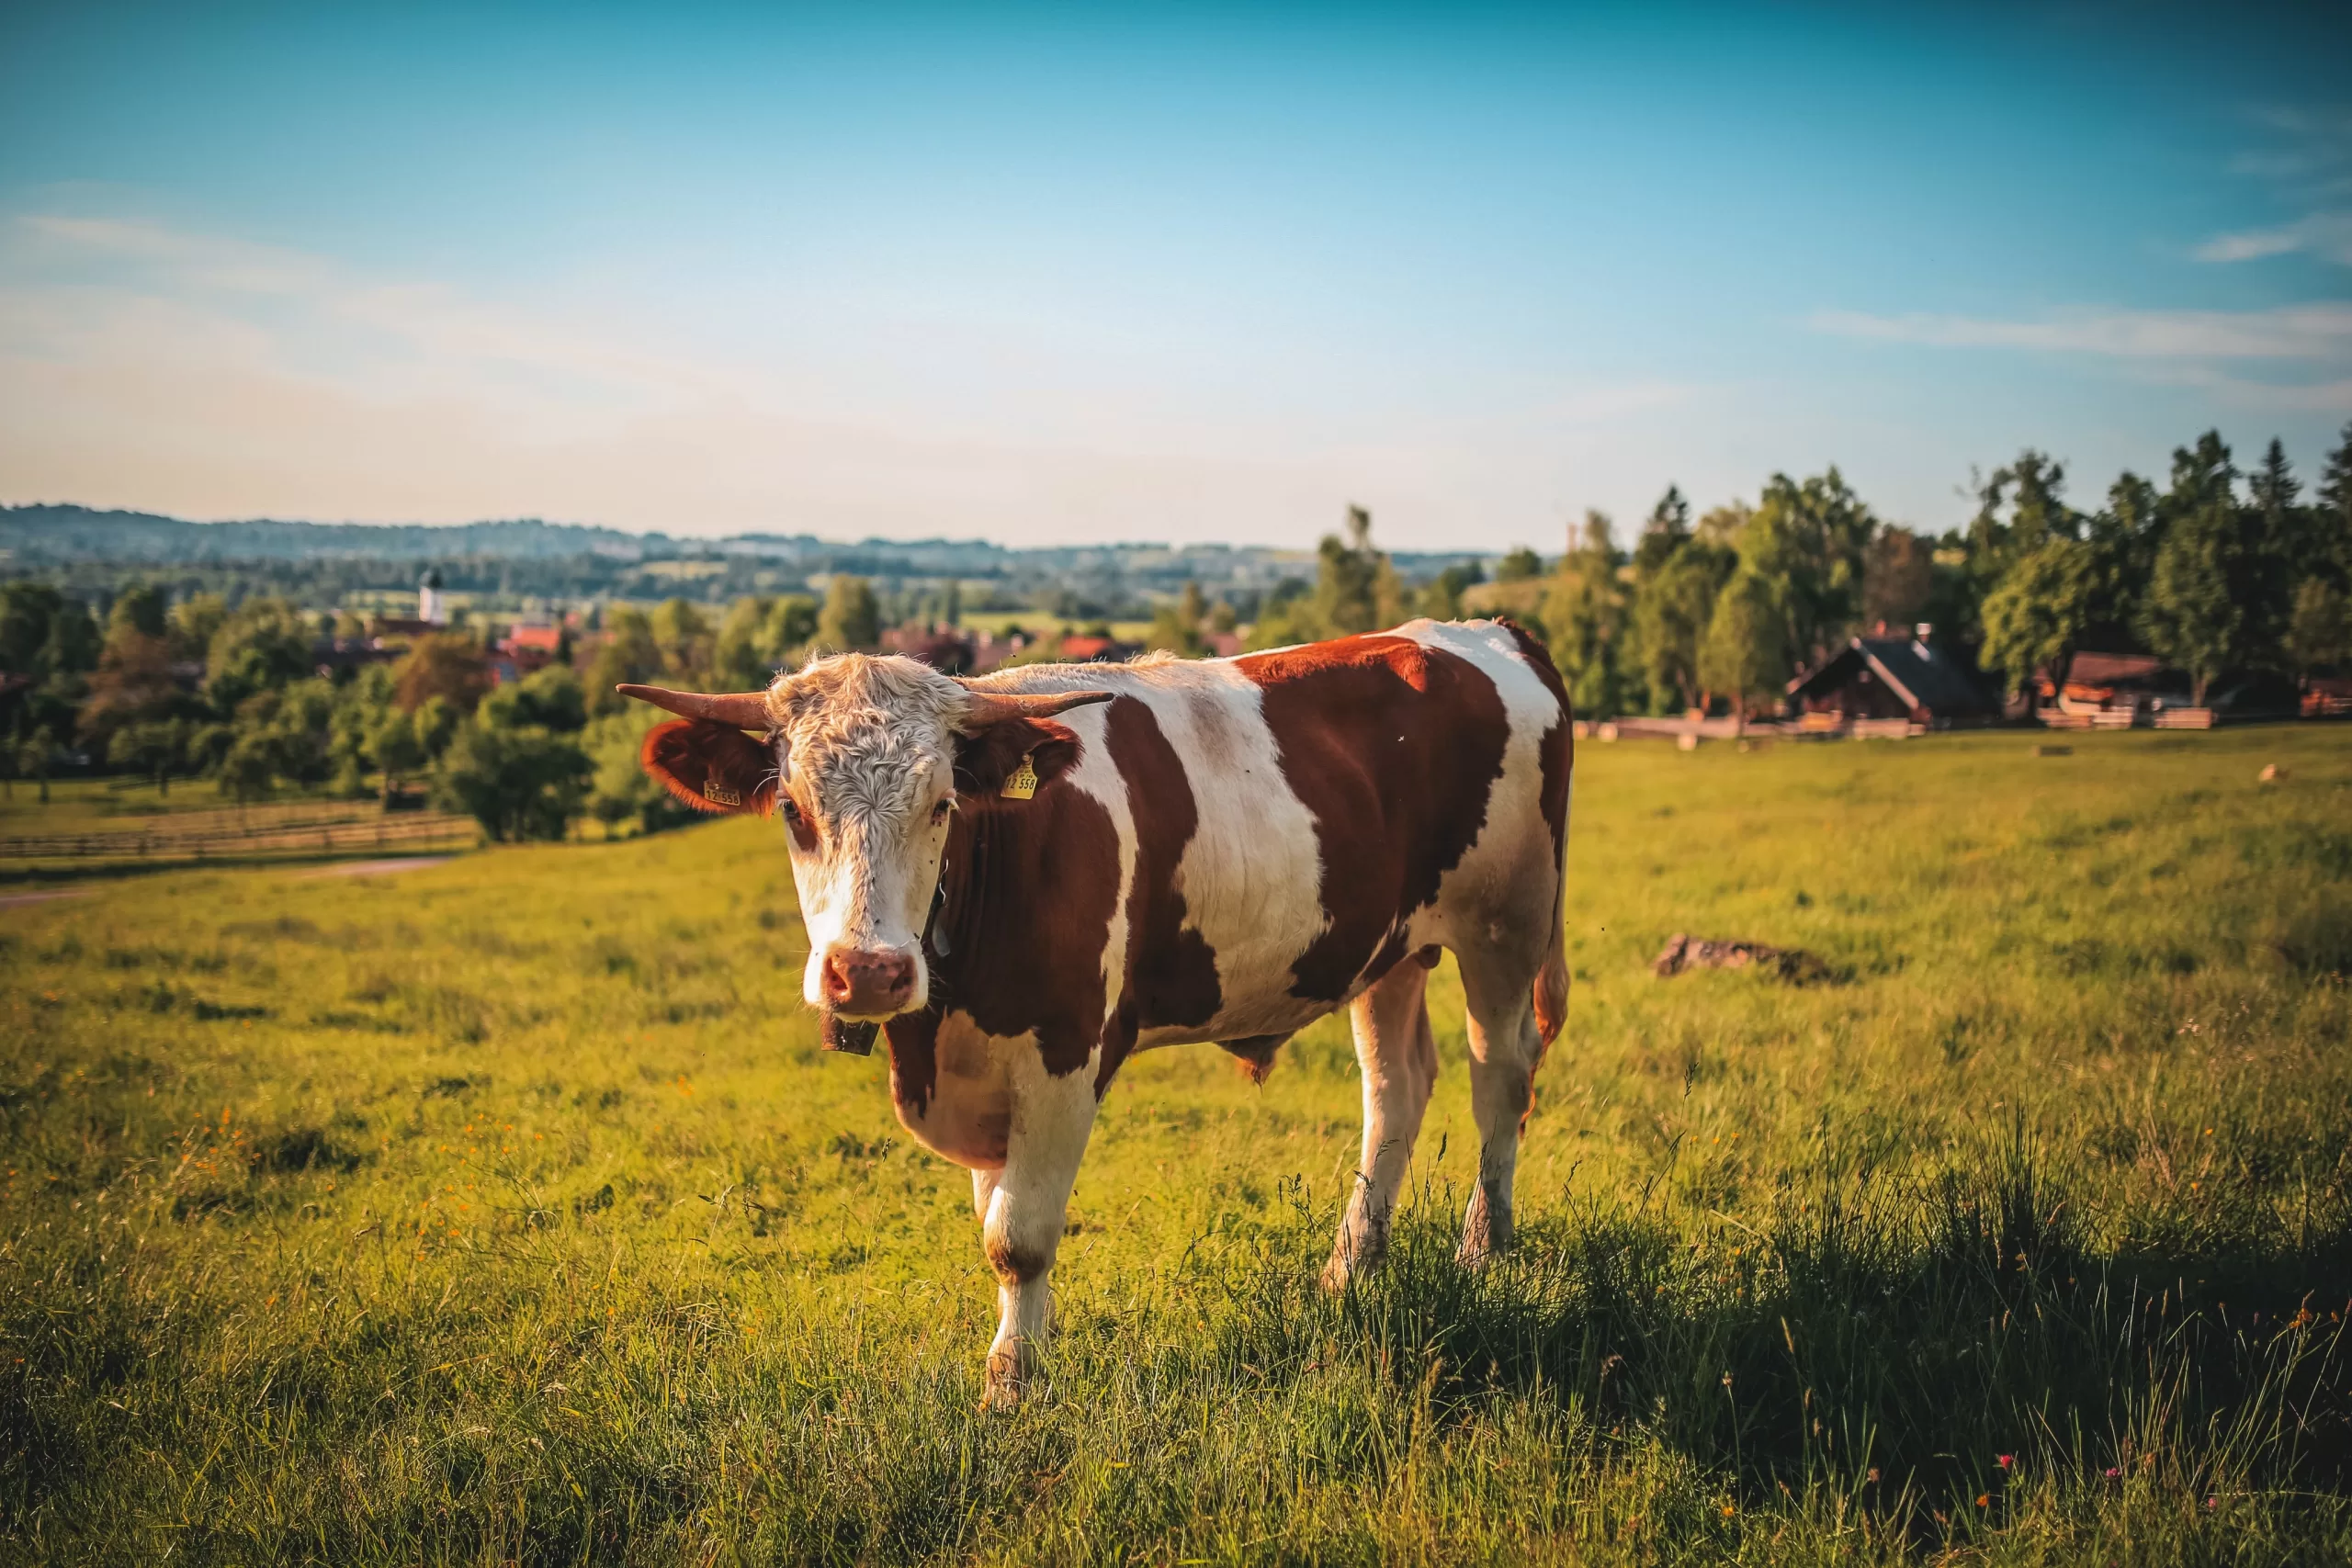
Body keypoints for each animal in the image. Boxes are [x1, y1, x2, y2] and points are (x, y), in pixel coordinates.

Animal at [625, 615, 1571, 1410]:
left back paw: (1484, 1247)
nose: (868, 971)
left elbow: (1019, 1236)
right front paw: (1022, 1352)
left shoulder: (1065, 1054)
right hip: (1391, 948)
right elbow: (995, 1216)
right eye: (793, 810)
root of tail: (1483, 631)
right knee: (1395, 1087)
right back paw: (1353, 1266)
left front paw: (1012, 1384)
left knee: (1500, 1076)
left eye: (942, 804)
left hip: (1507, 921)